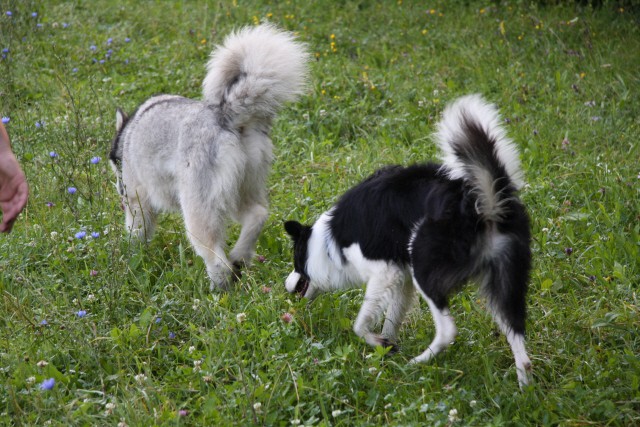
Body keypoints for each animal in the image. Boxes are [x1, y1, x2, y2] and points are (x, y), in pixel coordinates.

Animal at [109, 24, 308, 290]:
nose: (118, 188)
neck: (128, 135)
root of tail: (225, 115)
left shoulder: (137, 200)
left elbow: (136, 232)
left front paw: (133, 255)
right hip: (241, 190)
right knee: (258, 215)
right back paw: (240, 257)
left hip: (198, 208)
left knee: (216, 256)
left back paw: (218, 289)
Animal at [284, 93, 528, 388]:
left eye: (296, 262)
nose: (286, 287)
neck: (328, 242)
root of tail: (480, 203)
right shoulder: (402, 278)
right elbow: (391, 319)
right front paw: (386, 349)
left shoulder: (385, 271)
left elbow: (360, 324)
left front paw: (380, 343)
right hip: (505, 281)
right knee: (517, 333)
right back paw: (525, 386)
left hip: (424, 265)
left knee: (447, 330)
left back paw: (417, 363)